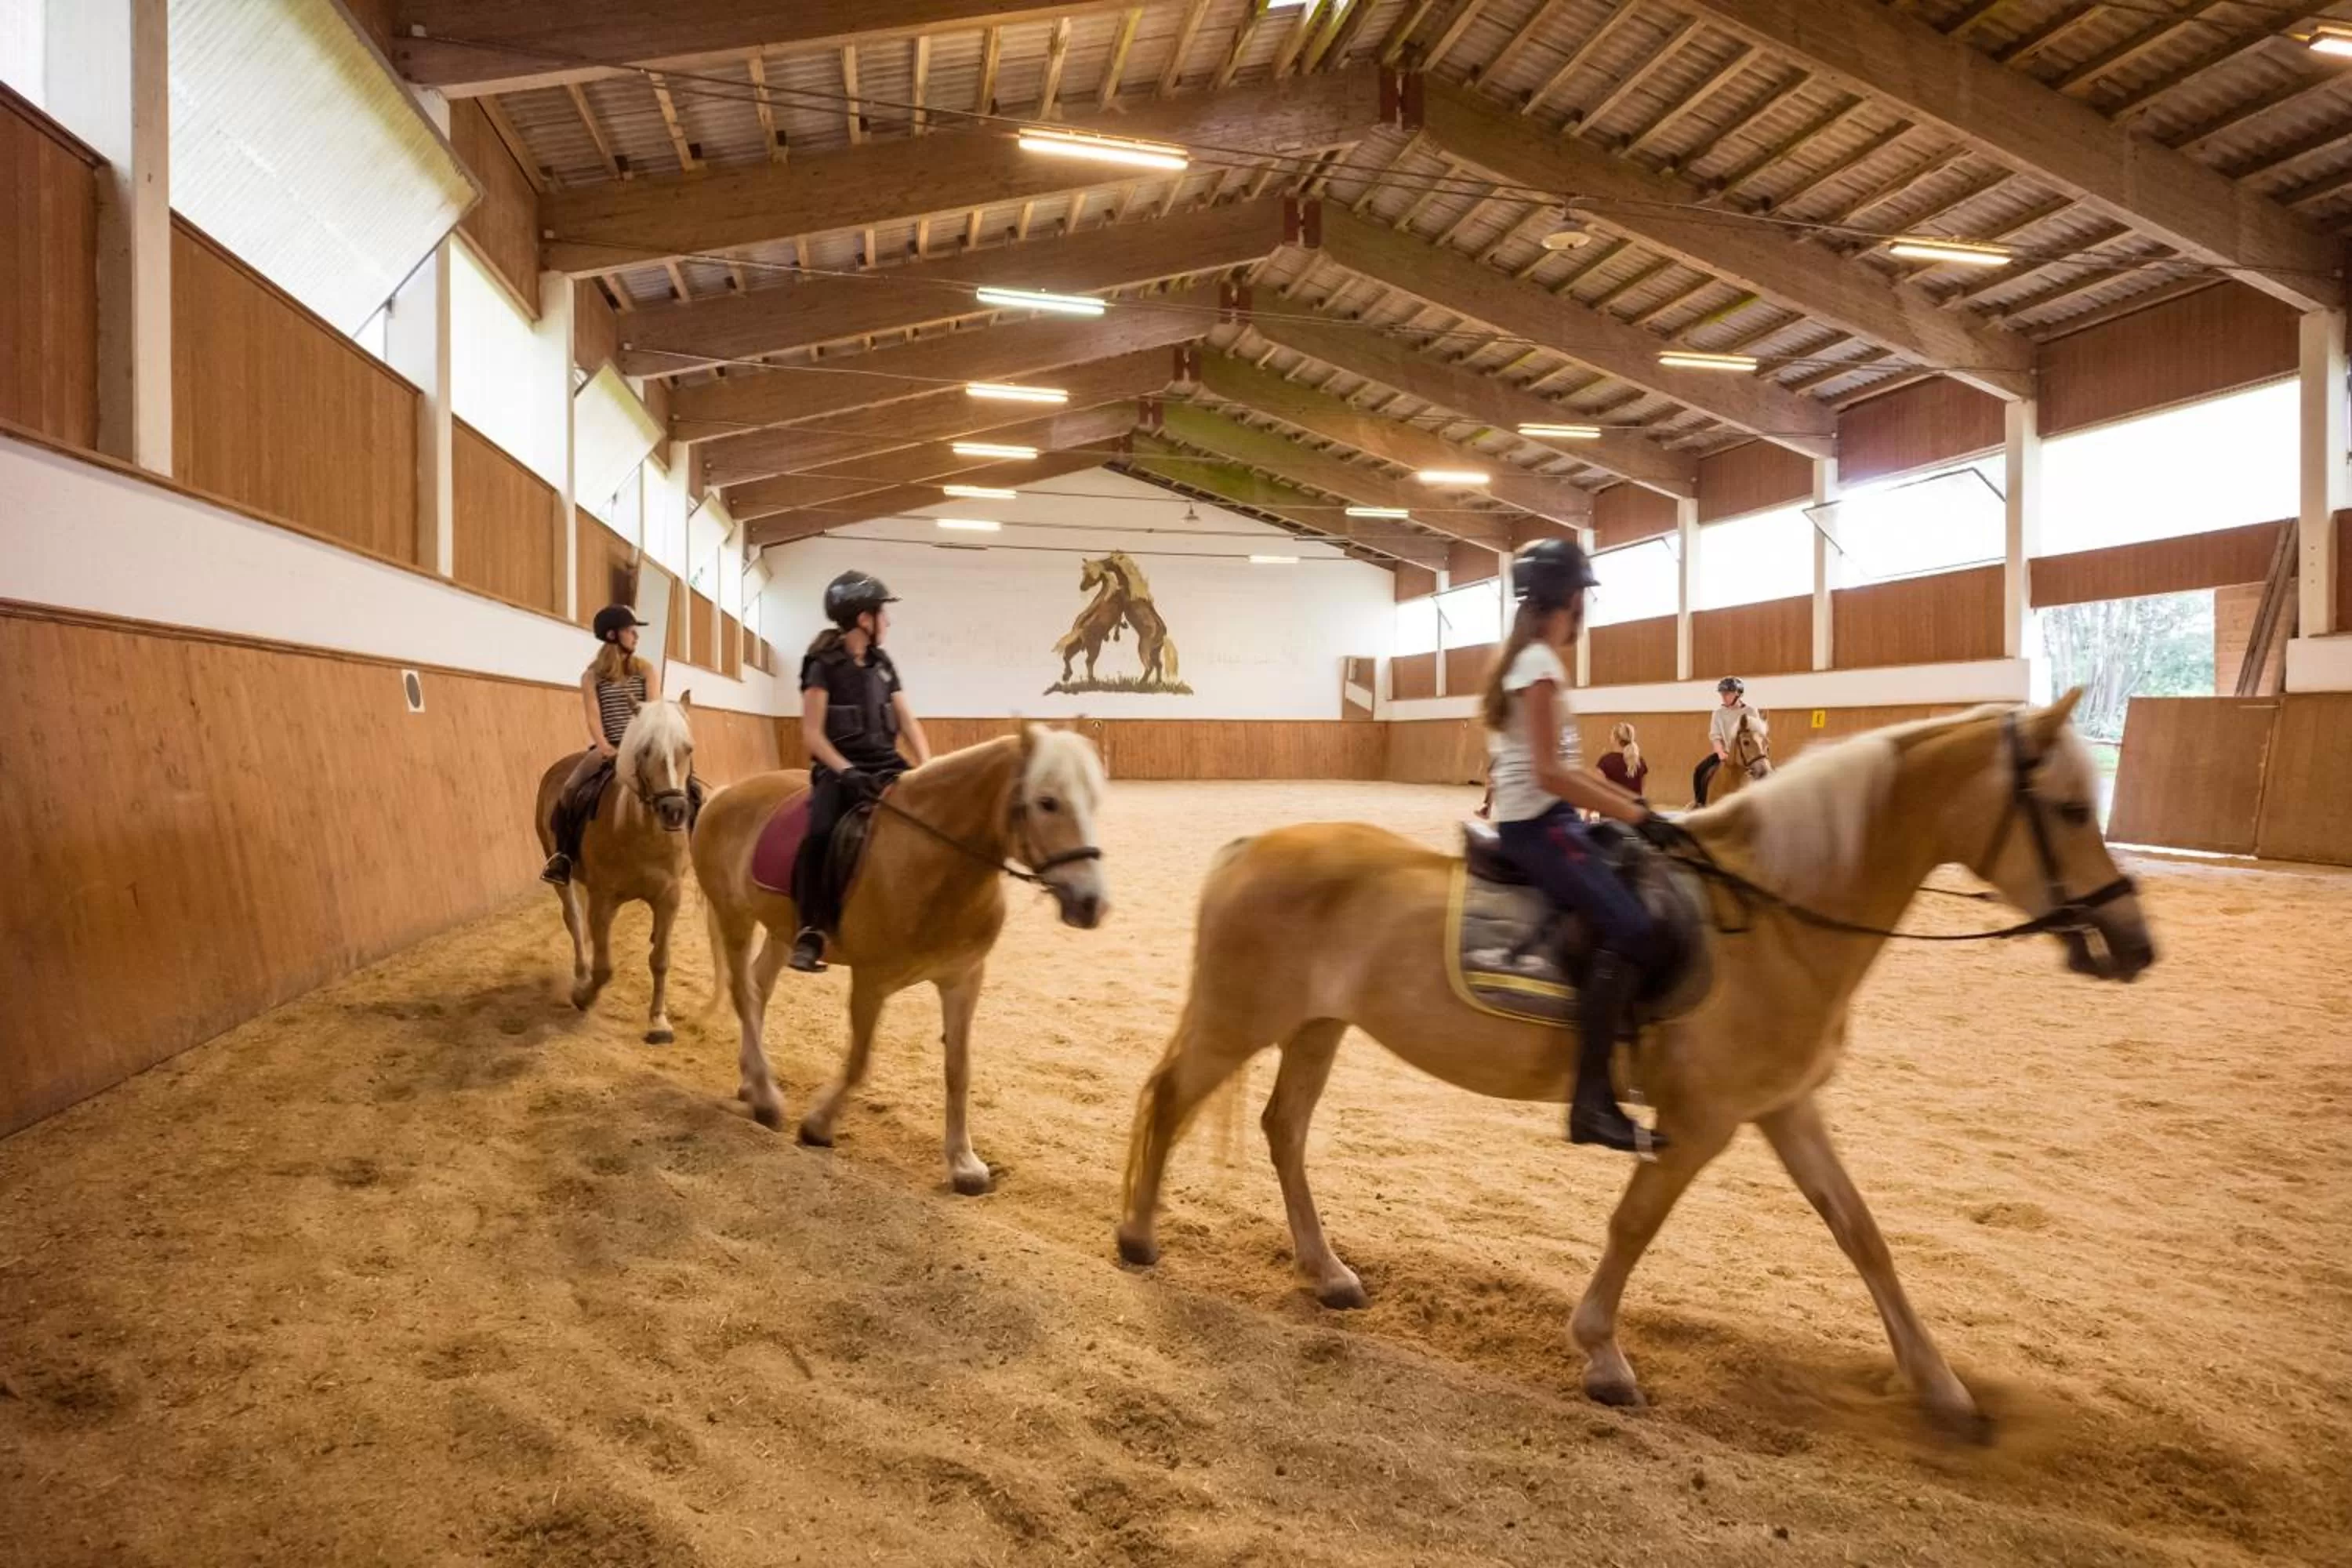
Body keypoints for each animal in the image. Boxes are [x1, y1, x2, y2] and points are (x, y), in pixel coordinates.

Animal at [532, 695, 698, 1044]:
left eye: (687, 749)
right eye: (645, 749)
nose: (674, 810)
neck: (639, 831)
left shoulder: (668, 898)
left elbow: (660, 960)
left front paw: (658, 1022)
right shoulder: (603, 900)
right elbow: (604, 968)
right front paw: (583, 997)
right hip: (561, 875)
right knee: (575, 922)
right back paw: (580, 976)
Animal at [693, 727, 1110, 1193]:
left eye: (1094, 800)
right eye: (1047, 802)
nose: (1091, 904)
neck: (933, 861)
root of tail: (727, 793)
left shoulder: (963, 979)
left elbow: (958, 1069)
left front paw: (964, 1163)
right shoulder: (870, 982)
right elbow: (859, 1062)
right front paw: (818, 1125)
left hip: (781, 930)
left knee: (758, 988)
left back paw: (752, 1081)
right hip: (734, 915)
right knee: (743, 994)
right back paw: (766, 1098)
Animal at [1115, 694, 2153, 1435]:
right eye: (2069, 807)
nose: (2134, 942)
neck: (1772, 918)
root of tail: (1251, 844)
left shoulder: (1785, 1107)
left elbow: (1863, 1235)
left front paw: (1941, 1388)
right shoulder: (1701, 1123)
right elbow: (1634, 1224)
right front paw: (1604, 1358)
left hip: (1317, 1025)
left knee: (1282, 1128)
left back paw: (1326, 1272)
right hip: (1242, 1018)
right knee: (1168, 1097)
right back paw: (1137, 1237)